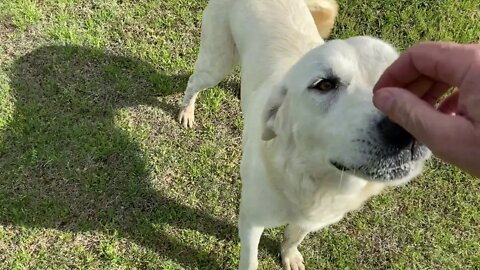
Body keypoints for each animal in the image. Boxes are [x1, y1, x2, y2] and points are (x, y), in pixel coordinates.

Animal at [177, 1, 432, 268]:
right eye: (324, 84)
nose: (407, 127)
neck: (313, 181)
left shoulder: (312, 219)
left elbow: (293, 236)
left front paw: (289, 256)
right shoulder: (251, 220)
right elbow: (251, 260)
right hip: (217, 64)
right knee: (193, 82)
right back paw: (187, 112)